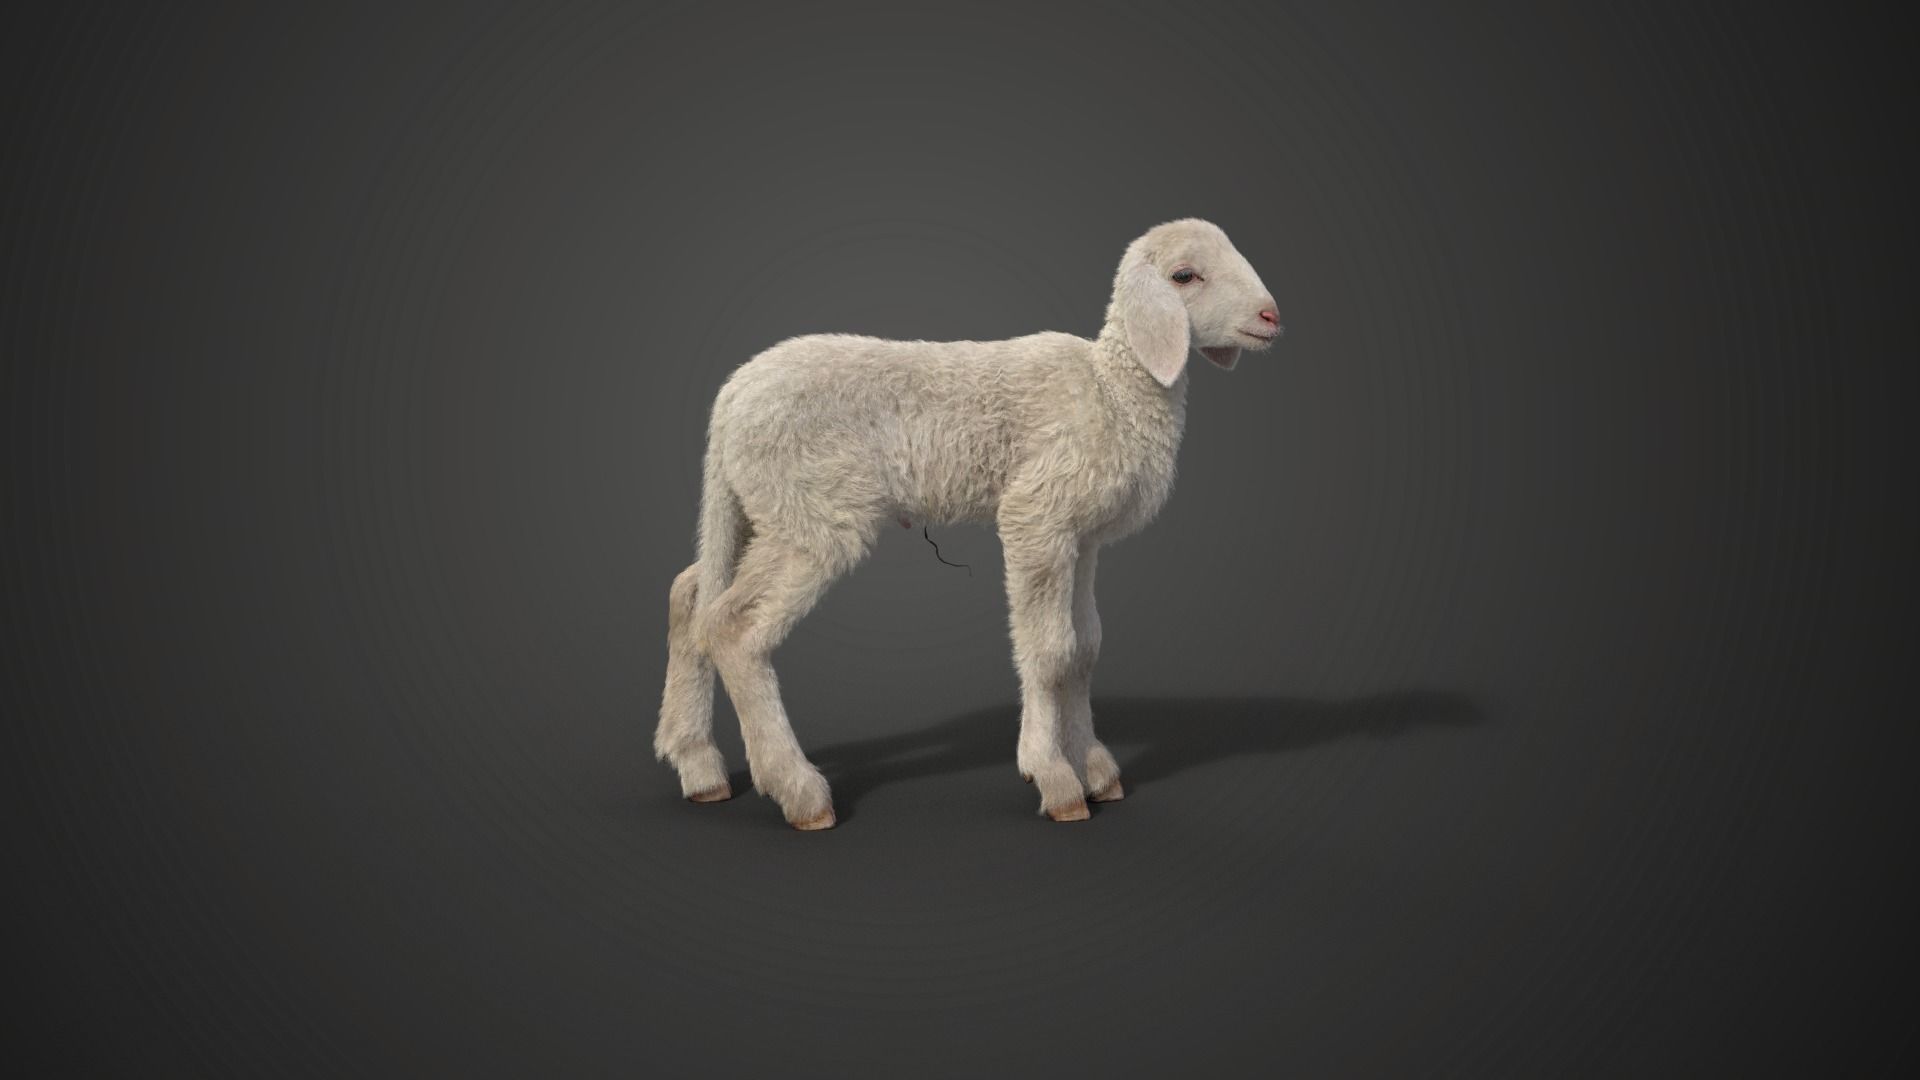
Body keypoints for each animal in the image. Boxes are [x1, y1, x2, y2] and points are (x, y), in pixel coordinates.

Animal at [654, 218, 1281, 829]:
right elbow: (1050, 650)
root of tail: (731, 396)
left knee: (692, 595)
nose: (1271, 316)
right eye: (1184, 275)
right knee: (733, 627)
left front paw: (1096, 770)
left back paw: (699, 766)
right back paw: (799, 791)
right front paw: (1053, 776)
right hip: (813, 511)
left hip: (759, 506)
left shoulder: (1083, 536)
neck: (1112, 390)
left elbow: (1085, 649)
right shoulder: (1038, 515)